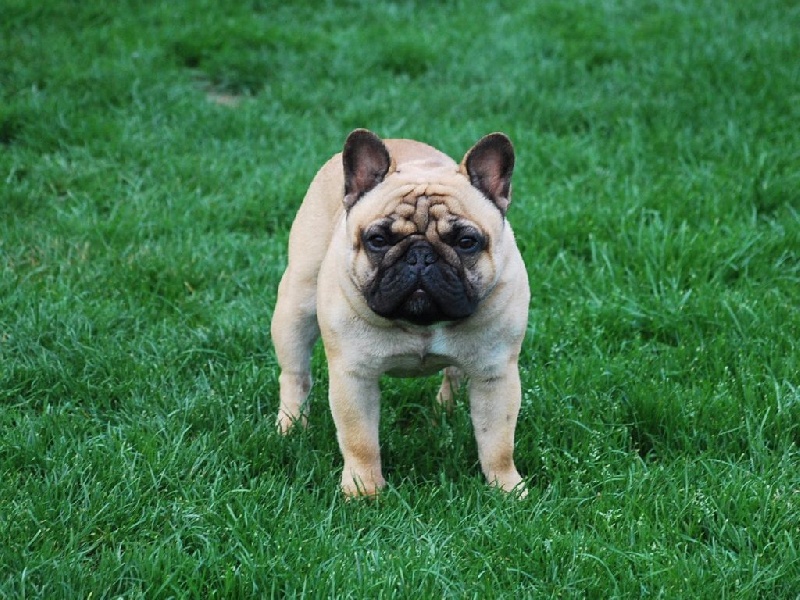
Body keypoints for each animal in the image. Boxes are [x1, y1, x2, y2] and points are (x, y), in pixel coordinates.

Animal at [271, 129, 530, 496]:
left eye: (466, 242)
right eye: (377, 240)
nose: (420, 256)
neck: (422, 324)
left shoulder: (495, 375)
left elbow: (498, 443)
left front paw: (507, 489)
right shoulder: (354, 376)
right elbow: (360, 440)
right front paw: (363, 491)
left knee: (453, 373)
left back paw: (445, 413)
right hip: (297, 303)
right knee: (295, 374)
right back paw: (291, 427)